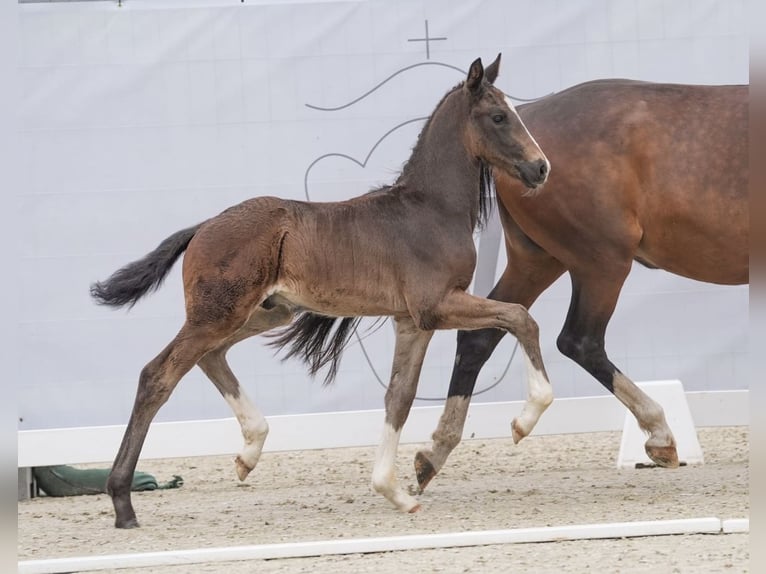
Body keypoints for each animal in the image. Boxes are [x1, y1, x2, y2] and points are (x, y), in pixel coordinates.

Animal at [93, 56, 556, 528]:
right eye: (498, 117)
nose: (541, 168)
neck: (430, 209)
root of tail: (203, 226)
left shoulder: (411, 321)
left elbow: (400, 397)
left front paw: (395, 491)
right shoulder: (435, 307)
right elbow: (520, 317)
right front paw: (525, 419)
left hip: (267, 312)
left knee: (210, 356)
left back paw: (248, 452)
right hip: (218, 314)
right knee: (158, 375)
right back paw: (123, 502)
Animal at [414, 77, 752, 490]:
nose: (537, 168)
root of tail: (528, 123)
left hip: (538, 261)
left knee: (482, 335)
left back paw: (434, 453)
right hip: (602, 262)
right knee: (580, 341)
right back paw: (659, 435)